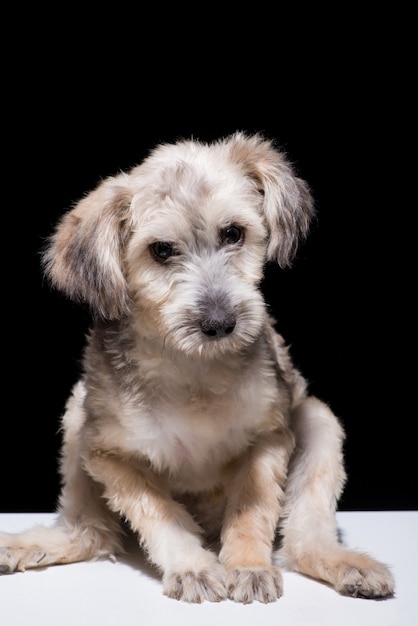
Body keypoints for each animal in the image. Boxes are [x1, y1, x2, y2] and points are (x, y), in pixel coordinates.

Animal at [0, 130, 396, 600]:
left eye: (233, 233)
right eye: (161, 250)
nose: (220, 323)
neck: (193, 370)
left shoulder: (267, 440)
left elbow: (250, 512)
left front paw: (247, 567)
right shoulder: (110, 457)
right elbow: (161, 515)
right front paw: (194, 568)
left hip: (319, 422)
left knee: (302, 540)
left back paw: (345, 564)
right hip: (77, 417)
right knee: (92, 533)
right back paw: (29, 545)